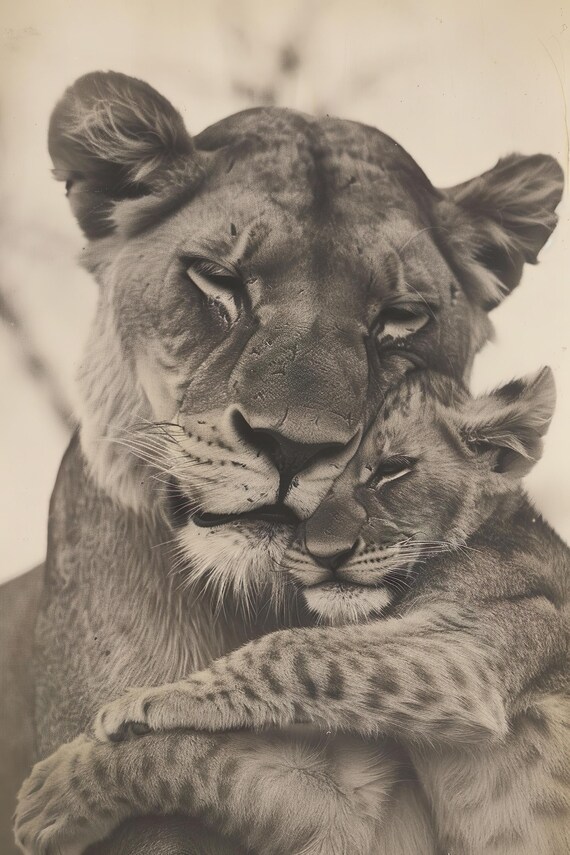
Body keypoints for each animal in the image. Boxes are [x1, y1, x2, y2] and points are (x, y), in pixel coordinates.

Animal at [0, 70, 563, 853]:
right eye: (216, 280)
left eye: (402, 317)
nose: (294, 446)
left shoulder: (462, 662)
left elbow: (288, 659)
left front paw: (127, 722)